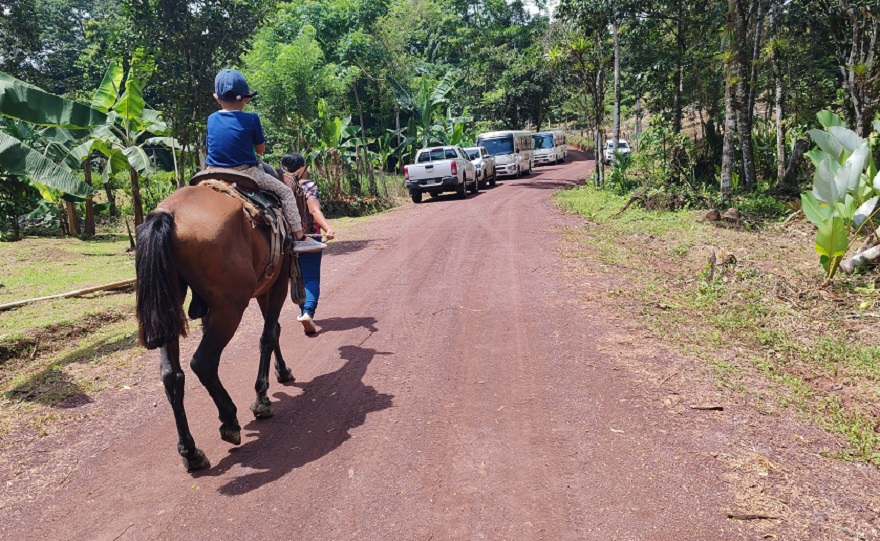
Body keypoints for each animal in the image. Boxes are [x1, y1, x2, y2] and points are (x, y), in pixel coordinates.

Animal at [136, 180, 296, 468]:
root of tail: (168, 212)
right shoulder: (278, 282)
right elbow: (268, 335)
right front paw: (262, 398)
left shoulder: (263, 287)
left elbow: (274, 330)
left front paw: (283, 371)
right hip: (230, 308)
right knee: (203, 362)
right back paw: (229, 421)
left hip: (168, 305)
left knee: (171, 375)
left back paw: (190, 451)